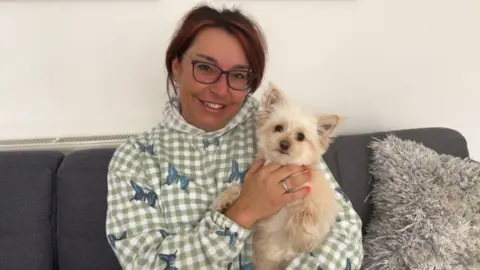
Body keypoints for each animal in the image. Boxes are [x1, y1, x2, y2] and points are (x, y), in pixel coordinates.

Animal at [212, 82, 340, 270]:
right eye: (278, 128)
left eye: (300, 136)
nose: (284, 144)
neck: (283, 166)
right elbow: (239, 187)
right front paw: (224, 199)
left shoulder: (317, 200)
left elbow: (306, 214)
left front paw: (301, 239)